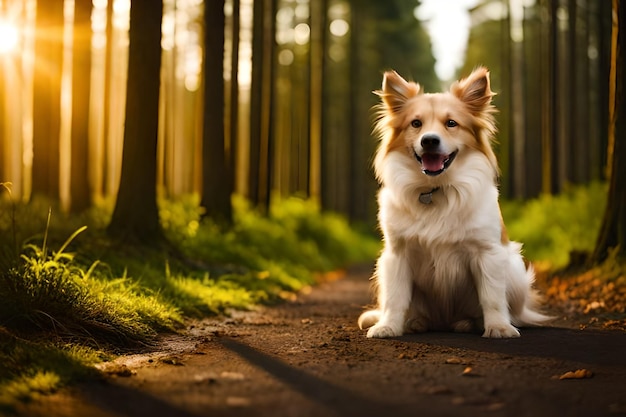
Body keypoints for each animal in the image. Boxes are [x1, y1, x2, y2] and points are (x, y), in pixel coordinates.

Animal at [358, 66, 548, 336]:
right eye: (416, 124)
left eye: (451, 123)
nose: (429, 140)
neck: (436, 189)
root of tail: (445, 321)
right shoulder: (397, 255)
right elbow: (395, 298)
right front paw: (388, 326)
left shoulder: (487, 253)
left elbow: (492, 296)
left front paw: (498, 327)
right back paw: (416, 322)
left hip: (514, 269)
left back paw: (472, 322)